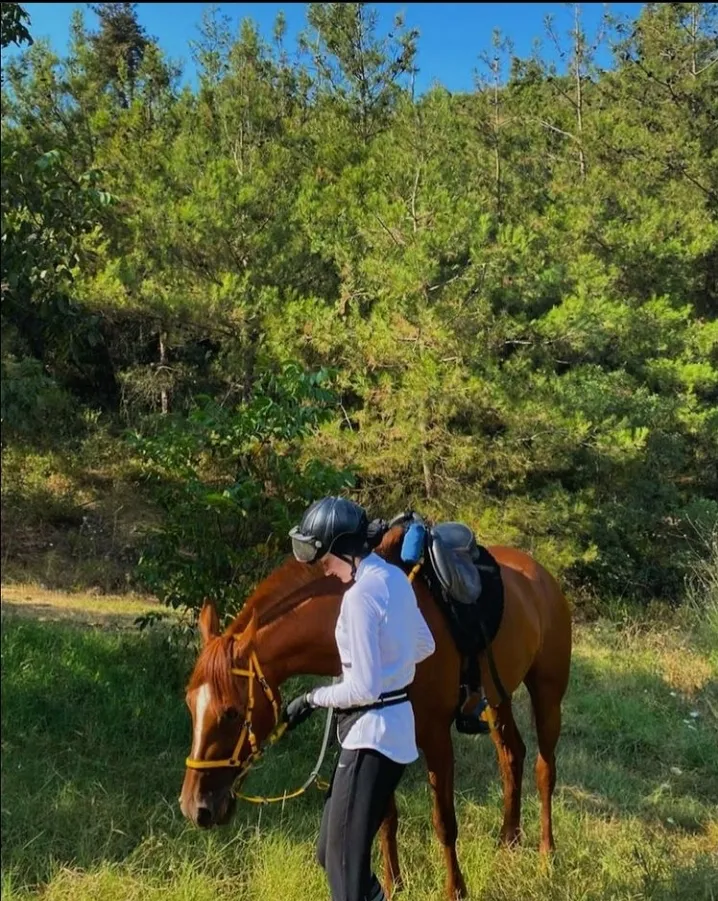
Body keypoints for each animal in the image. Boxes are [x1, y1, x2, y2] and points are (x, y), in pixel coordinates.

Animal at [179, 525, 572, 900]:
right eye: (190, 705)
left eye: (231, 713)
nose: (194, 807)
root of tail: (541, 575)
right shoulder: (377, 737)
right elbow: (385, 818)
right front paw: (394, 884)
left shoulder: (434, 736)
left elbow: (443, 821)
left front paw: (456, 891)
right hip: (498, 700)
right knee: (512, 756)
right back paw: (509, 843)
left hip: (547, 695)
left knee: (544, 770)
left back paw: (546, 855)